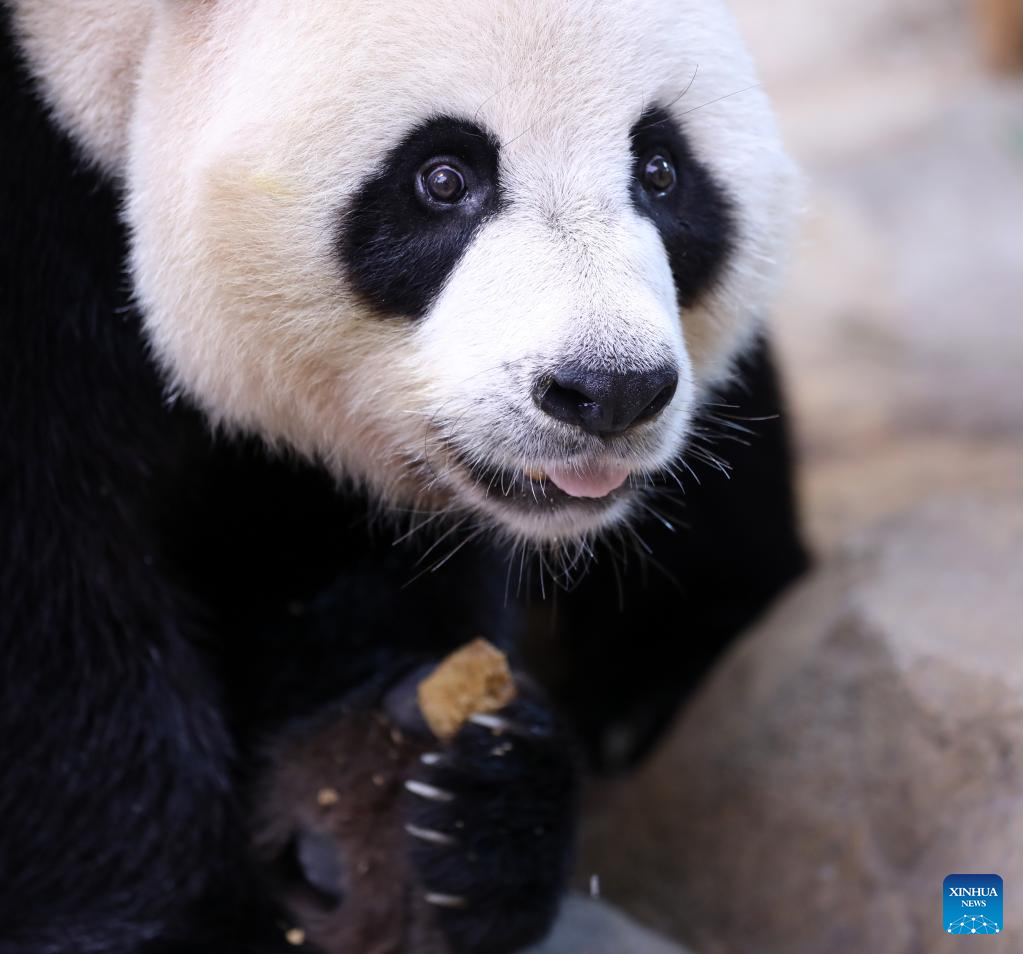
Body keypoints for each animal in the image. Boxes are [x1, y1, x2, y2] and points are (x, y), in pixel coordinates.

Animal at [1, 1, 806, 952]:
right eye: (443, 178)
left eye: (659, 170)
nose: (608, 390)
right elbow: (51, 623)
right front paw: (180, 919)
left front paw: (438, 816)